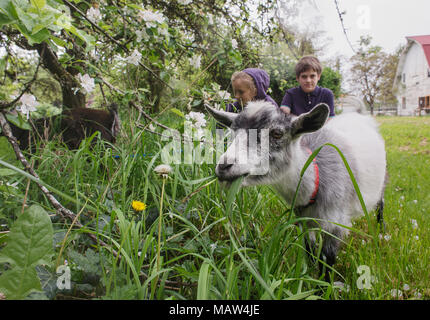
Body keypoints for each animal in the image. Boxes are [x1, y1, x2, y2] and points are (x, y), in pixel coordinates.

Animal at [207, 101, 388, 278]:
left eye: (277, 134)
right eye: (233, 132)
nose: (224, 166)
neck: (316, 180)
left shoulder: (336, 222)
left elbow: (327, 259)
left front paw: (323, 284)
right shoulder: (303, 219)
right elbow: (309, 248)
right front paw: (310, 271)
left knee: (381, 204)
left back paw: (382, 230)